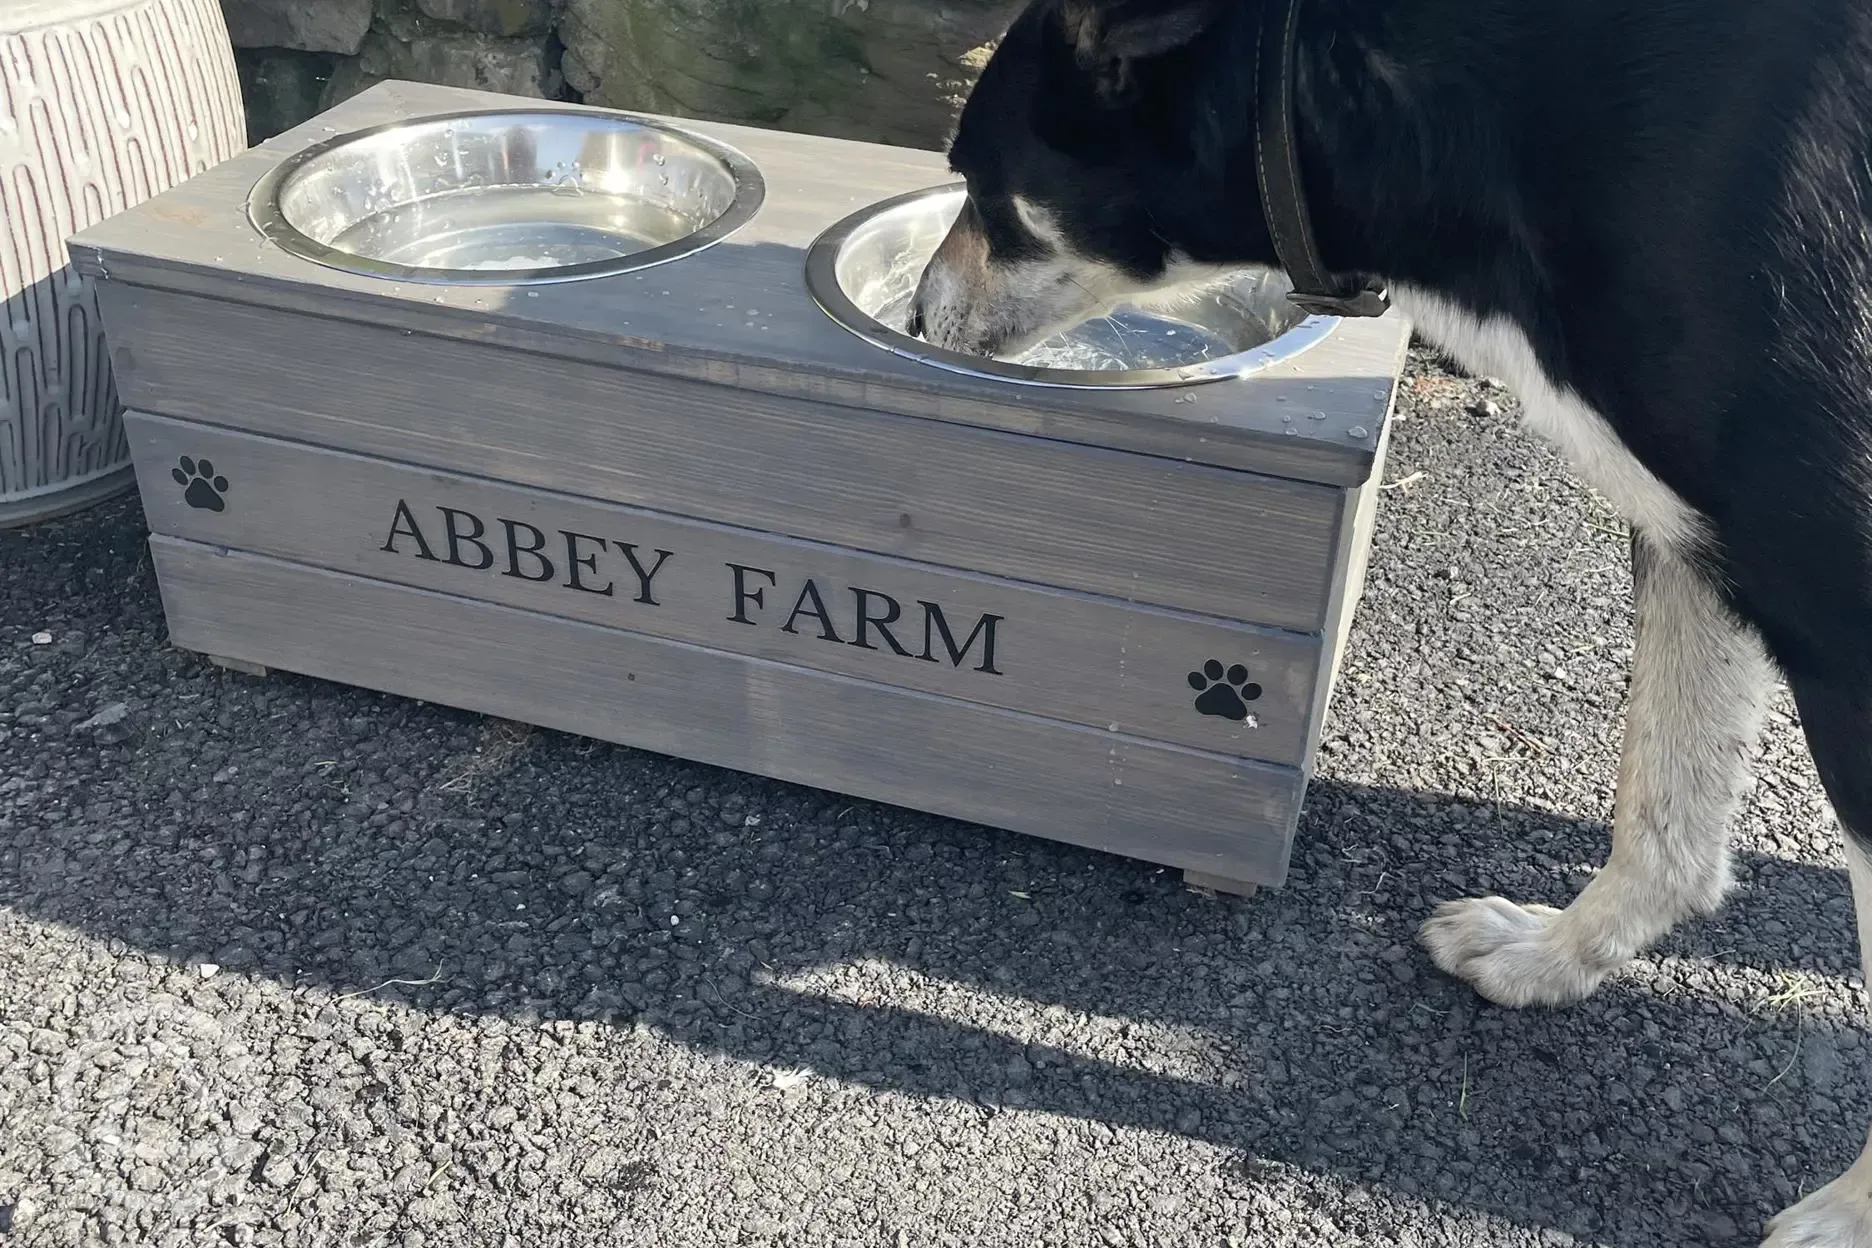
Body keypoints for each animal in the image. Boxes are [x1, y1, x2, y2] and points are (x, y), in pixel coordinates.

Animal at [913, 0, 1872, 1242]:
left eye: (978, 182)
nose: (917, 315)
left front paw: (1851, 1211)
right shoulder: (1699, 527)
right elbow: (1666, 802)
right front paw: (1555, 956)